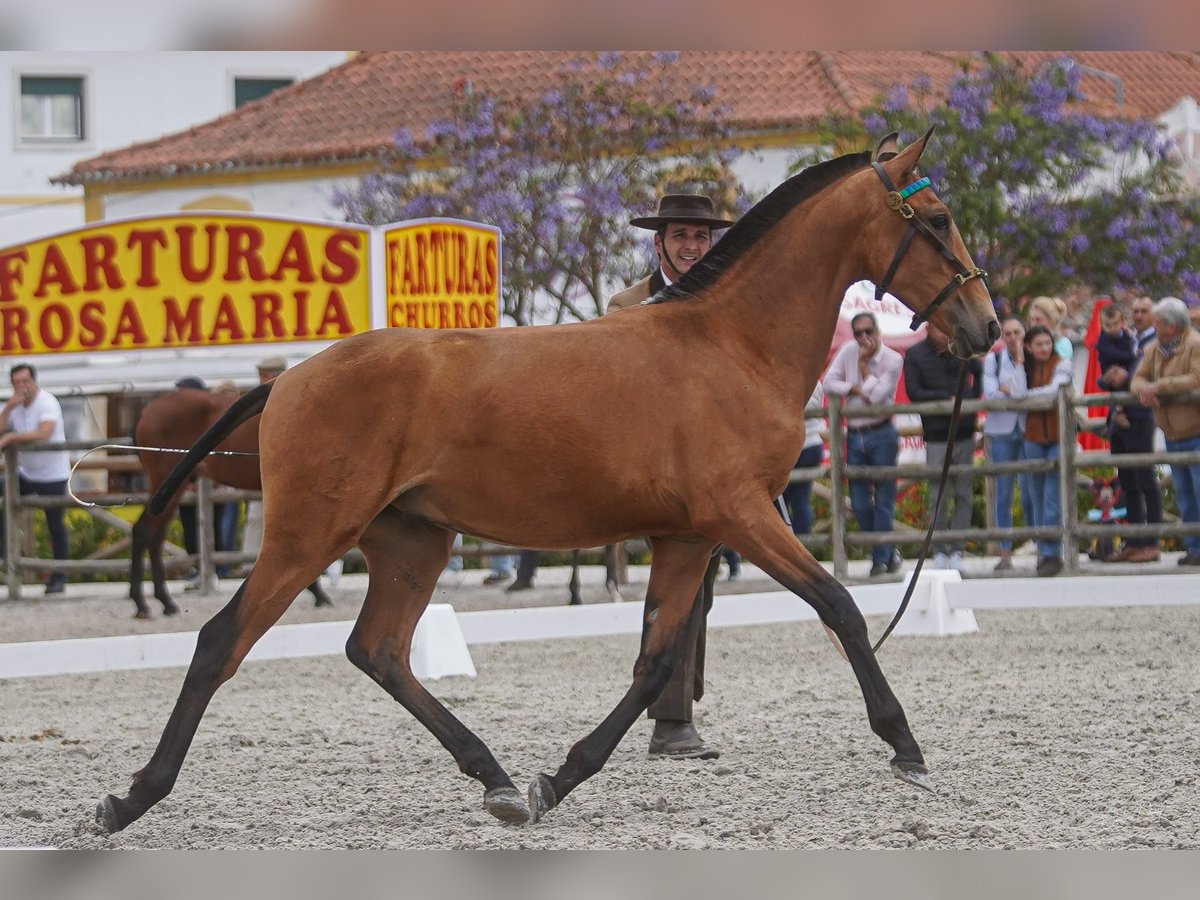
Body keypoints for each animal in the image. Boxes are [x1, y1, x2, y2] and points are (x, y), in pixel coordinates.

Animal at [129, 391, 333, 624]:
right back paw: (145, 604)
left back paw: (162, 602)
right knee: (146, 532)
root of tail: (147, 410)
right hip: (169, 484)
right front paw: (316, 593)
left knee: (152, 536)